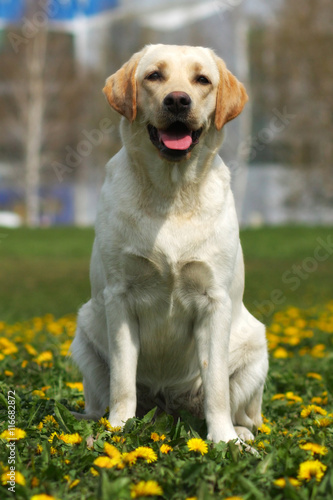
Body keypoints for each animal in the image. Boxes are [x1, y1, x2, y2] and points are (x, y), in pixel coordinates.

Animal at [70, 45, 268, 444]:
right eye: (154, 76)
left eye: (202, 79)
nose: (178, 100)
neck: (171, 194)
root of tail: (168, 408)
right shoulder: (120, 296)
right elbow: (123, 380)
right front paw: (118, 429)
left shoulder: (214, 300)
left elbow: (216, 386)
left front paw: (223, 441)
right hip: (85, 337)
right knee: (102, 400)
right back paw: (98, 426)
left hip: (257, 349)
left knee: (245, 413)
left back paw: (240, 434)